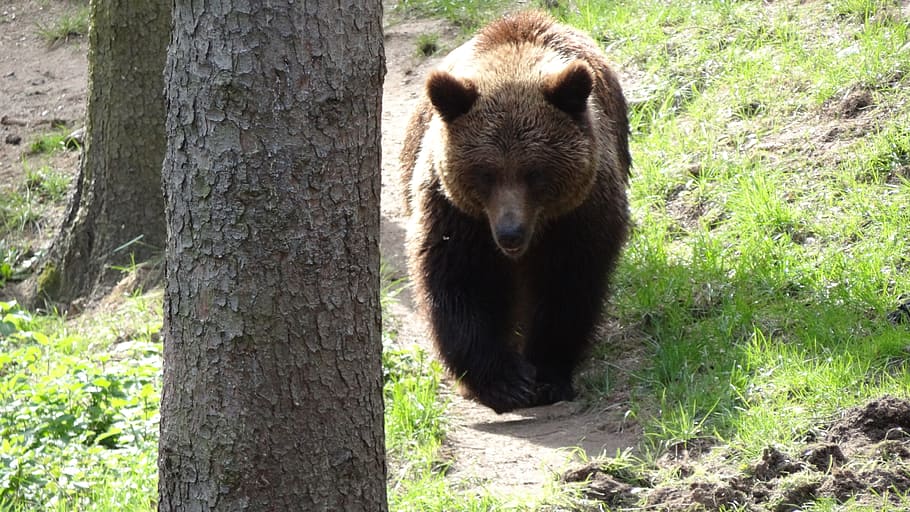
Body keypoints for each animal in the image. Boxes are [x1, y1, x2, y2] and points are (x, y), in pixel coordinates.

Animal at [399, 11, 631, 413]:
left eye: (534, 172)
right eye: (485, 173)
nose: (510, 233)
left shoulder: (579, 215)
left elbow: (568, 287)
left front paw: (548, 374)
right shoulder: (457, 215)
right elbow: (459, 284)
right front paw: (505, 382)